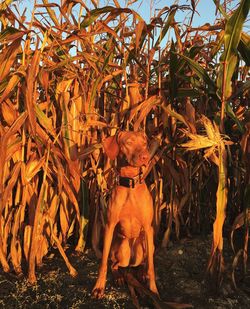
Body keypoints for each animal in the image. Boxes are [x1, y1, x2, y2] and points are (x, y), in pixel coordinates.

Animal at [92, 131, 158, 298]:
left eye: (144, 143)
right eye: (128, 142)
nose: (145, 156)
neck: (130, 185)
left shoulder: (148, 228)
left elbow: (151, 266)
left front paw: (154, 290)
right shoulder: (109, 226)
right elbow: (103, 262)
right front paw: (99, 287)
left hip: (146, 246)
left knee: (144, 262)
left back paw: (141, 274)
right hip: (120, 249)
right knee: (114, 264)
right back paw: (119, 277)